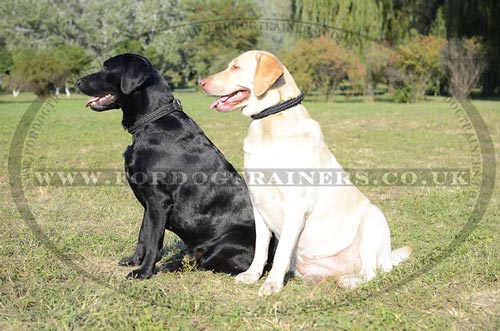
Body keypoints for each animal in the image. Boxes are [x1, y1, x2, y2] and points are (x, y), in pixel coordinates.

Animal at [78, 54, 260, 280]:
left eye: (106, 68)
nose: (77, 81)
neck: (152, 120)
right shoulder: (149, 202)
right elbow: (144, 234)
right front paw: (134, 261)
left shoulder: (159, 200)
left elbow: (153, 240)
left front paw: (144, 272)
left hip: (228, 242)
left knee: (203, 262)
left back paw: (169, 265)